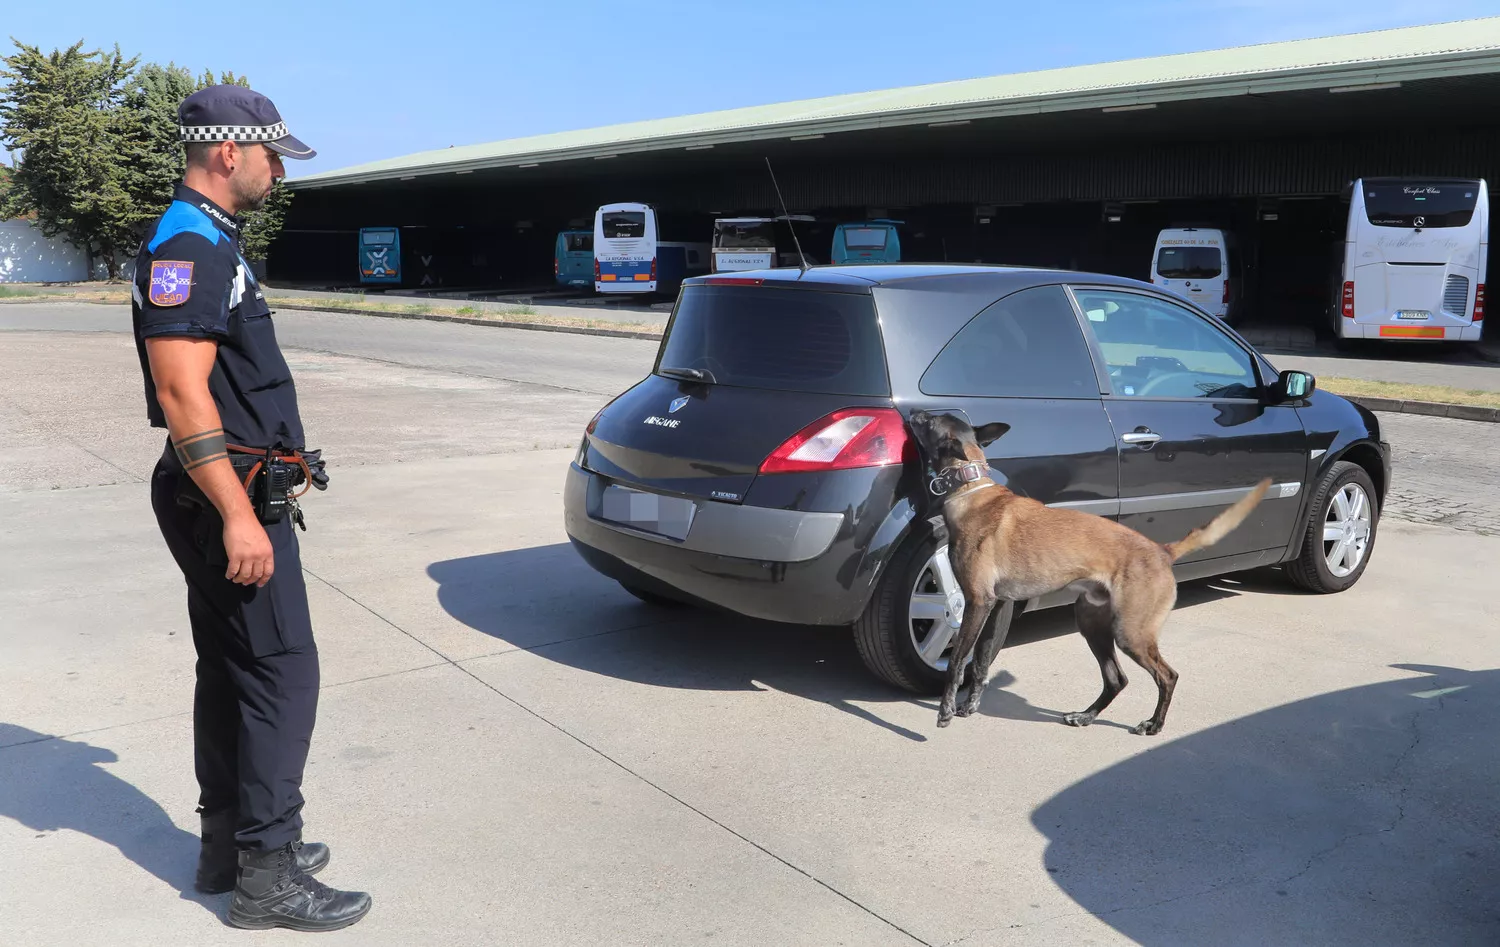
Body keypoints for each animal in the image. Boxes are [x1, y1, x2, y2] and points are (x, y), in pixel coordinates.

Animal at [900, 411, 1266, 738]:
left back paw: (1154, 724)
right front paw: (969, 706)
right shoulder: (997, 604)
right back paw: (1087, 716)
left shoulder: (977, 602)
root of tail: (1162, 551)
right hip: (1092, 623)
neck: (971, 489)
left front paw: (946, 711)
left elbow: (957, 660)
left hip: (1130, 633)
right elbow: (980, 662)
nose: (911, 413)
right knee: (1117, 679)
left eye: (929, 420)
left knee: (1168, 676)